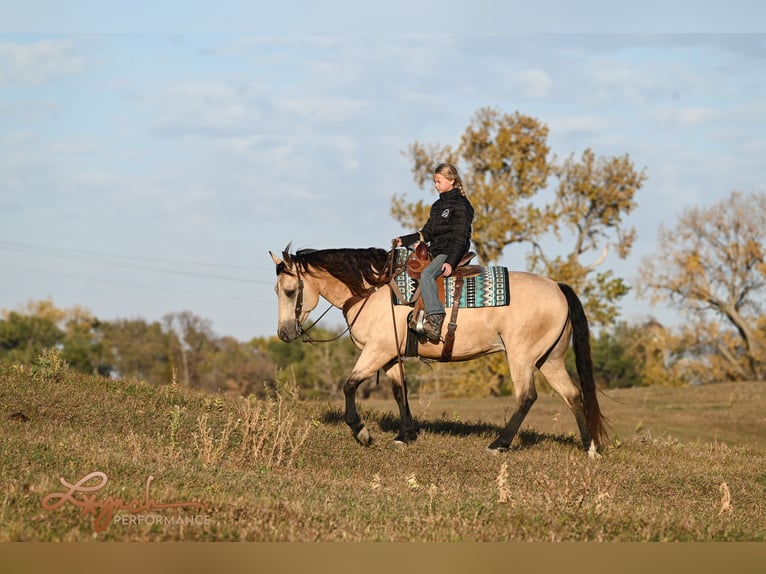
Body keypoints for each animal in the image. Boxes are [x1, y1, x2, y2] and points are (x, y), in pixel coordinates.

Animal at [272, 244, 608, 460]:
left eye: (289, 291)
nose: (284, 333)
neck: (373, 290)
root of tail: (557, 287)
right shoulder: (390, 356)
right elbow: (400, 392)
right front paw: (405, 435)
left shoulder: (377, 351)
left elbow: (349, 385)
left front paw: (362, 432)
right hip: (550, 360)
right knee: (573, 395)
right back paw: (590, 448)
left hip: (522, 358)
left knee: (527, 397)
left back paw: (498, 444)